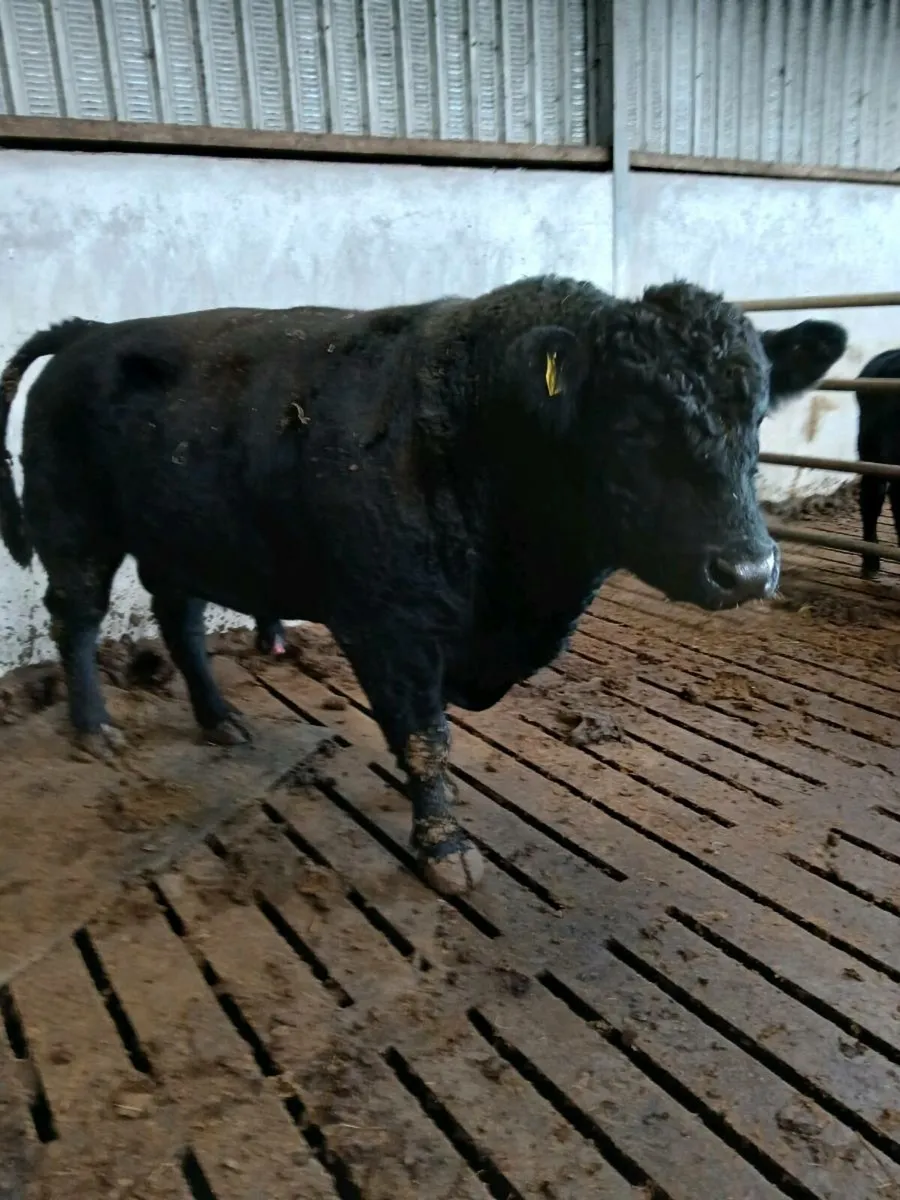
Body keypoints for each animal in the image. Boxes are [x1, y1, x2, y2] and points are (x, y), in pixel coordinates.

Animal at [0, 277, 847, 895]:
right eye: (633, 426)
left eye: (757, 418)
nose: (747, 569)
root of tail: (88, 331)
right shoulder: (389, 625)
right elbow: (425, 739)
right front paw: (444, 848)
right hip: (74, 525)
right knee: (77, 619)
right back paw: (93, 726)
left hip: (180, 538)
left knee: (178, 618)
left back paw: (219, 719)